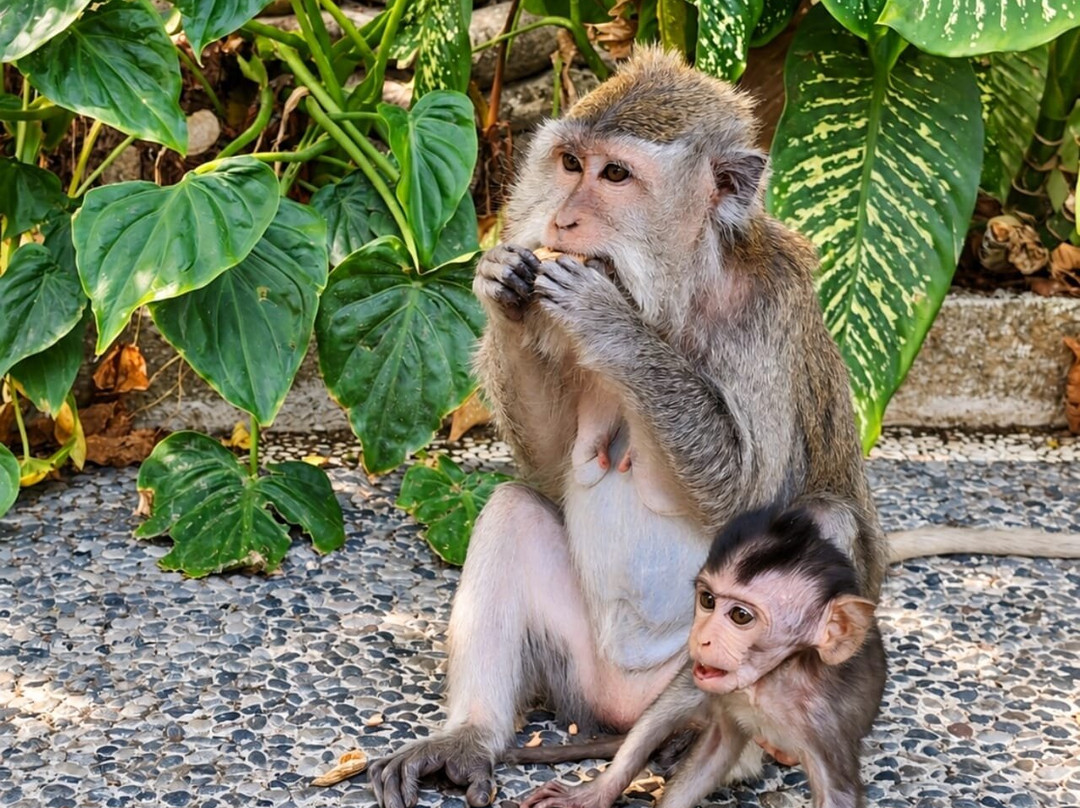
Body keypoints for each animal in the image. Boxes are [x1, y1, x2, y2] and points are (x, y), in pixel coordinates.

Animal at [519, 503, 886, 808]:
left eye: (740, 616)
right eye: (708, 600)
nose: (701, 638)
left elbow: (838, 794)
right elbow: (712, 749)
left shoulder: (825, 723)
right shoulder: (730, 699)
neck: (772, 681)